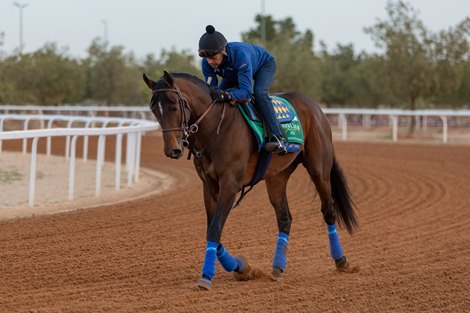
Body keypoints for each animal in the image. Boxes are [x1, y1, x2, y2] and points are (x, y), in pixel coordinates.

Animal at [141, 70, 358, 290]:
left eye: (174, 106)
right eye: (154, 110)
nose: (173, 150)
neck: (217, 128)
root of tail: (315, 106)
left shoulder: (230, 184)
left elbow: (215, 229)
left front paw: (207, 276)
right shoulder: (209, 186)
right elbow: (212, 229)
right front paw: (241, 268)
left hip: (319, 169)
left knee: (328, 210)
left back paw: (341, 261)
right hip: (277, 176)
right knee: (284, 217)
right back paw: (277, 268)